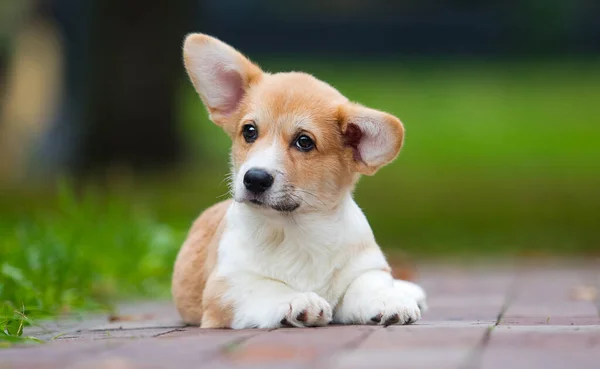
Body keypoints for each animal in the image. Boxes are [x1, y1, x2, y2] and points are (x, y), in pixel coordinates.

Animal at [173, 33, 426, 328]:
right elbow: (266, 287)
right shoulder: (226, 285)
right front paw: (300, 300)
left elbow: (368, 283)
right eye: (249, 131)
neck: (296, 231)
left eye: (304, 141)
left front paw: (388, 300)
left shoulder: (365, 268)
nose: (254, 179)